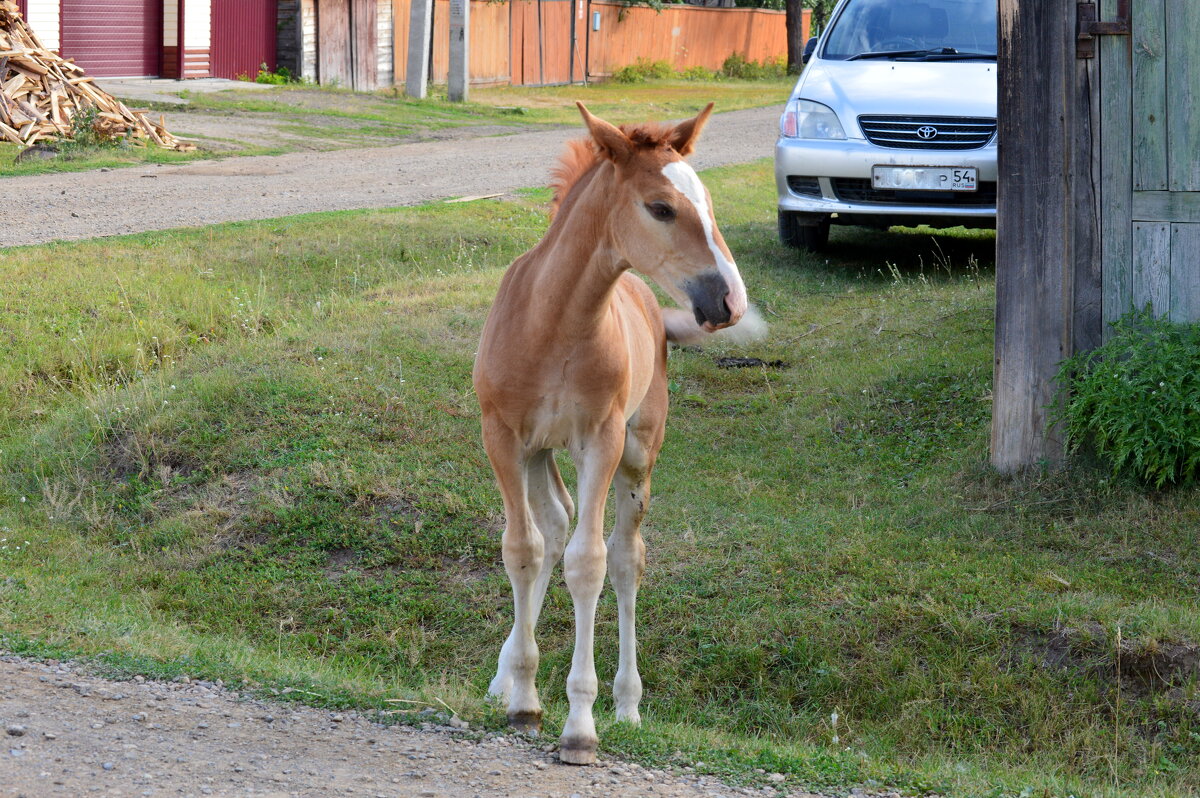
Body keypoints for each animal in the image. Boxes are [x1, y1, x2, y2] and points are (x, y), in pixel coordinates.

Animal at [470, 102, 744, 763]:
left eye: (709, 202)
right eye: (661, 207)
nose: (729, 300)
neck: (553, 323)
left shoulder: (601, 442)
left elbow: (589, 563)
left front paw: (579, 724)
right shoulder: (504, 438)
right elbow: (521, 550)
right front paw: (522, 699)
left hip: (638, 454)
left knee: (624, 558)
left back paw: (626, 702)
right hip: (541, 455)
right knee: (551, 528)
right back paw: (506, 676)